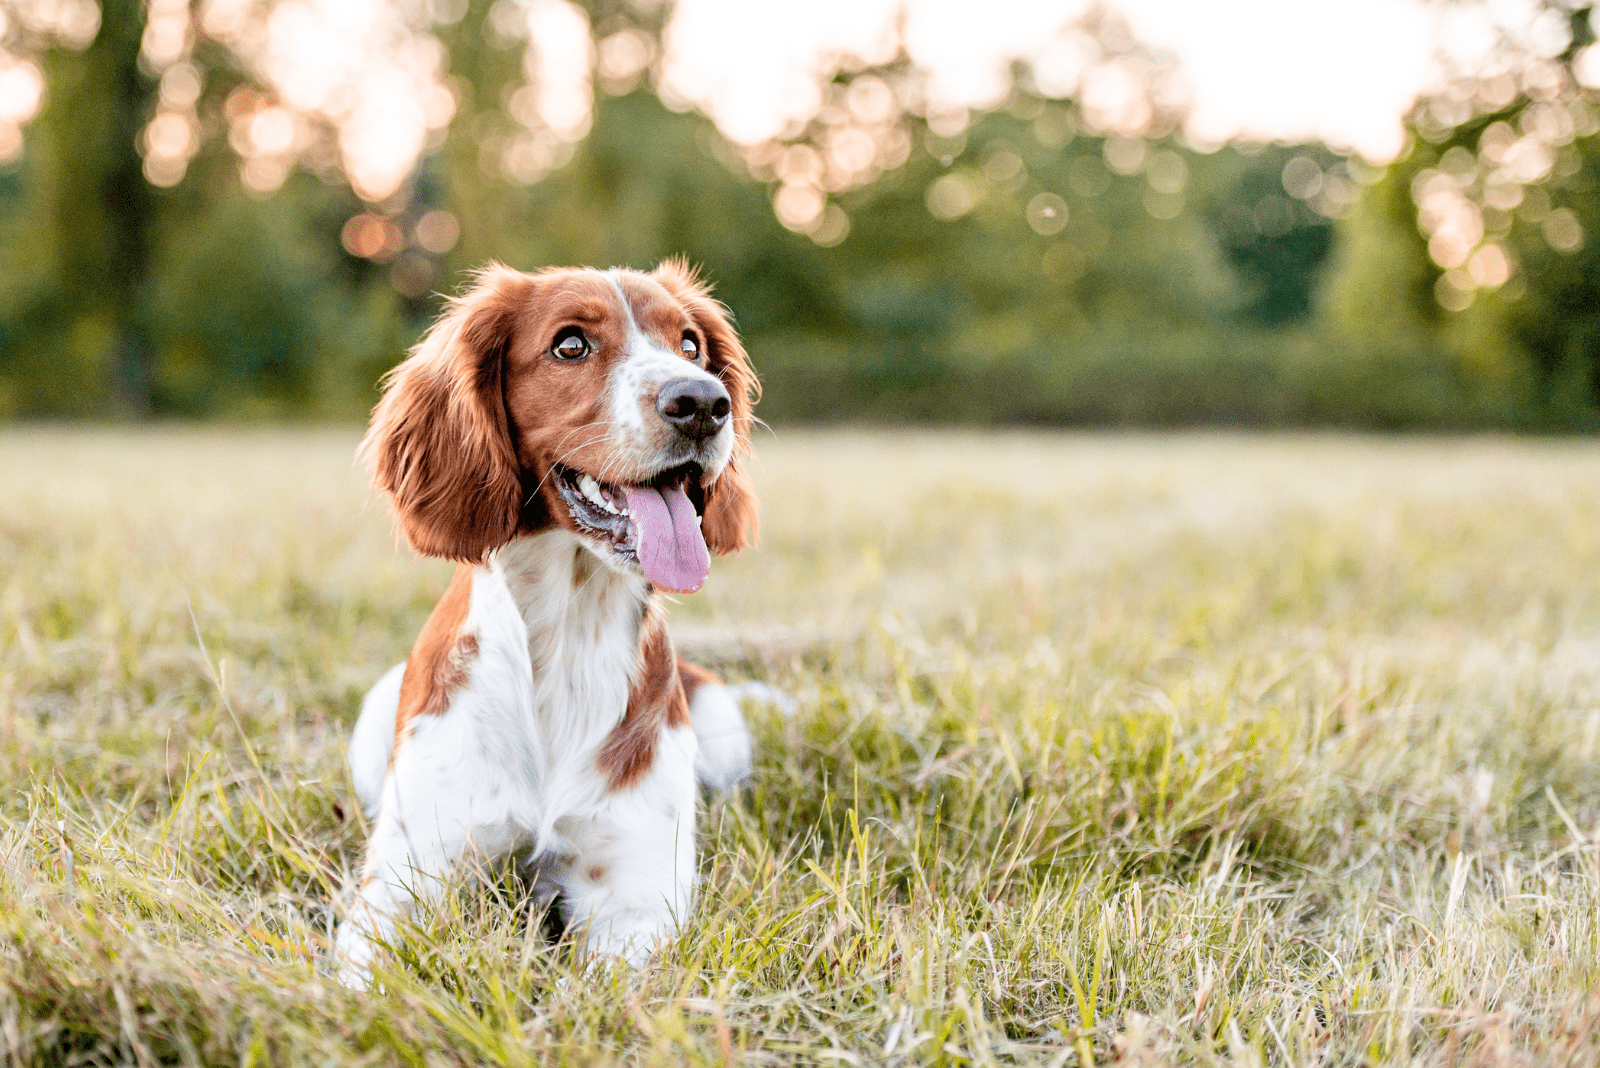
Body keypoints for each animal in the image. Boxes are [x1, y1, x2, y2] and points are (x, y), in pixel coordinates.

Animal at [334, 255, 758, 984]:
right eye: (570, 345)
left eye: (690, 345)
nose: (702, 402)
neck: (568, 633)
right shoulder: (402, 880)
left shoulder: (635, 896)